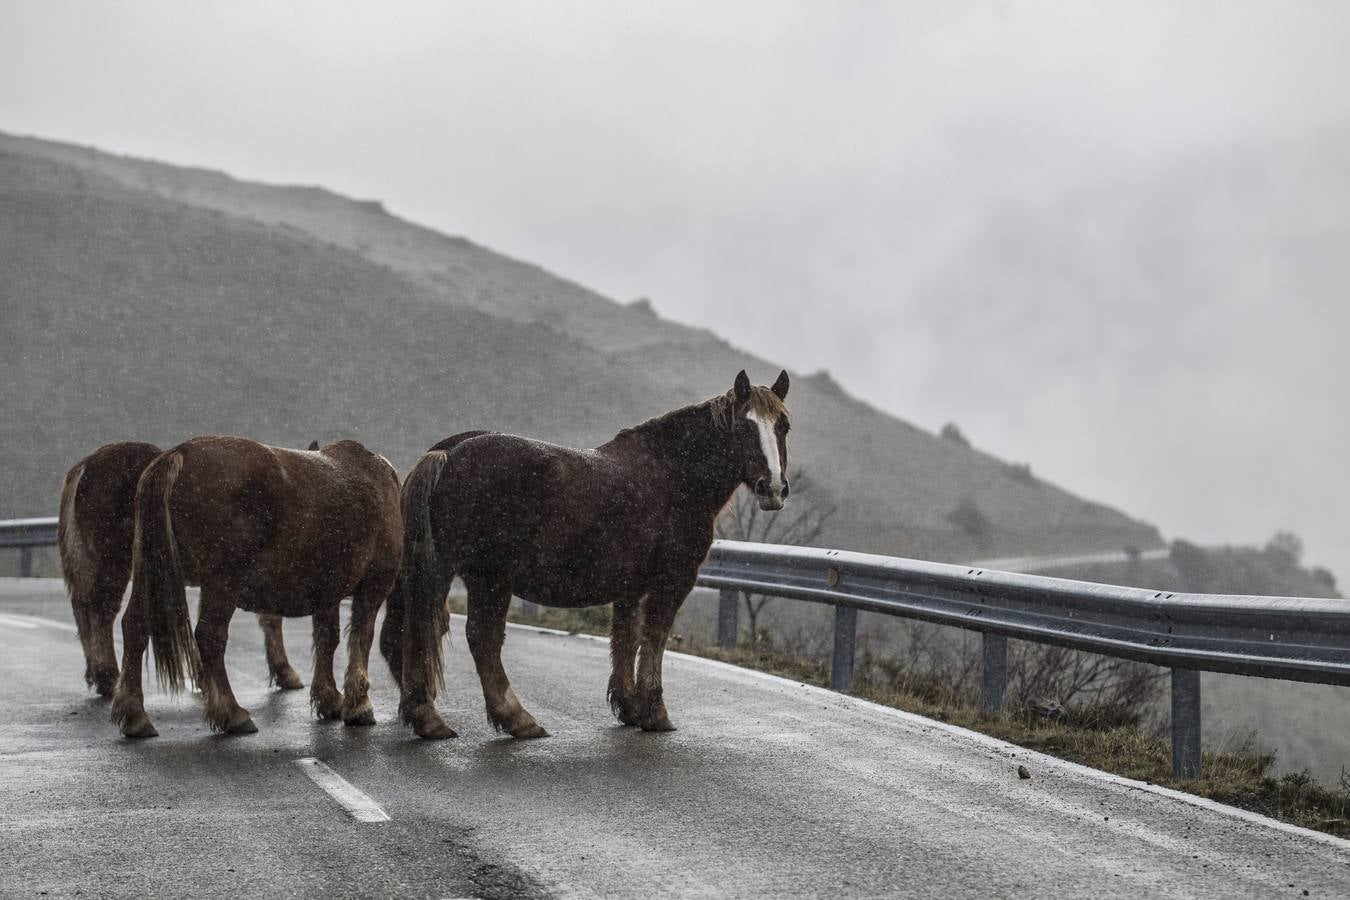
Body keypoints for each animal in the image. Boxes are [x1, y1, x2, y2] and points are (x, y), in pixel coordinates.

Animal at [58, 442, 321, 696]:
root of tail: (85, 466)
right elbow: (270, 619)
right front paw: (285, 672)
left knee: (83, 607)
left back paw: (96, 674)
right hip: (111, 562)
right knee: (101, 610)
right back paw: (108, 677)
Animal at [110, 437, 399, 739]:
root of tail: (179, 453)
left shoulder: (328, 591)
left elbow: (327, 639)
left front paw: (329, 698)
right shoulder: (374, 584)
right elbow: (361, 637)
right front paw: (359, 705)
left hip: (152, 575)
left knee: (135, 626)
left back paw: (134, 714)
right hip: (221, 585)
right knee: (210, 637)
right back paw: (231, 713)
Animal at [391, 369, 788, 744]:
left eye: (783, 425)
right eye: (744, 425)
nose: (773, 488)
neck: (674, 474)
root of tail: (449, 452)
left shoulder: (630, 589)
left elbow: (625, 639)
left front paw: (629, 708)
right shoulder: (672, 582)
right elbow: (654, 638)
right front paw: (655, 712)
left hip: (441, 572)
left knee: (419, 625)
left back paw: (427, 718)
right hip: (490, 580)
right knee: (482, 639)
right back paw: (517, 719)